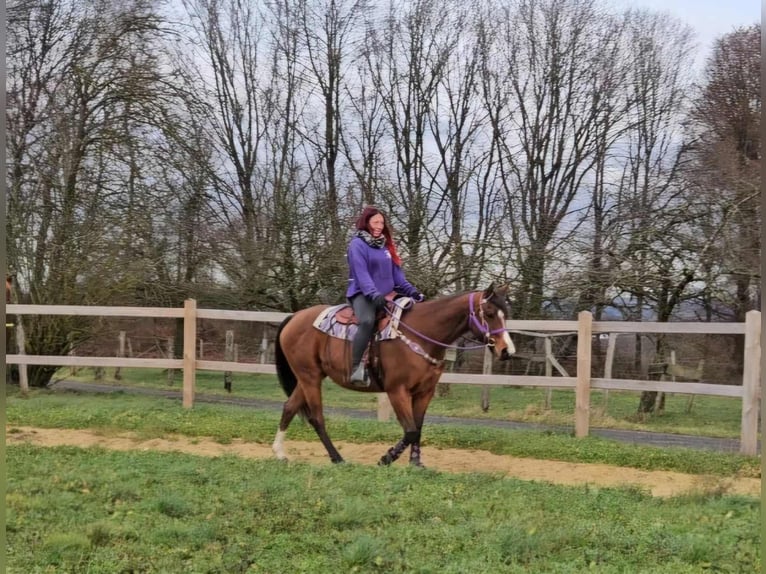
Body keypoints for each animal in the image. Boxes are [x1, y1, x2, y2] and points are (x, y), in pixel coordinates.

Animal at [271, 283, 516, 467]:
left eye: (506, 314)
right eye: (490, 313)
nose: (507, 351)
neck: (421, 334)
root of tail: (294, 317)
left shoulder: (425, 392)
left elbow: (417, 428)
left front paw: (416, 463)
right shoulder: (397, 391)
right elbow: (410, 430)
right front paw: (386, 458)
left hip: (308, 378)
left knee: (289, 407)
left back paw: (280, 453)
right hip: (310, 377)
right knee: (317, 417)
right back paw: (337, 458)